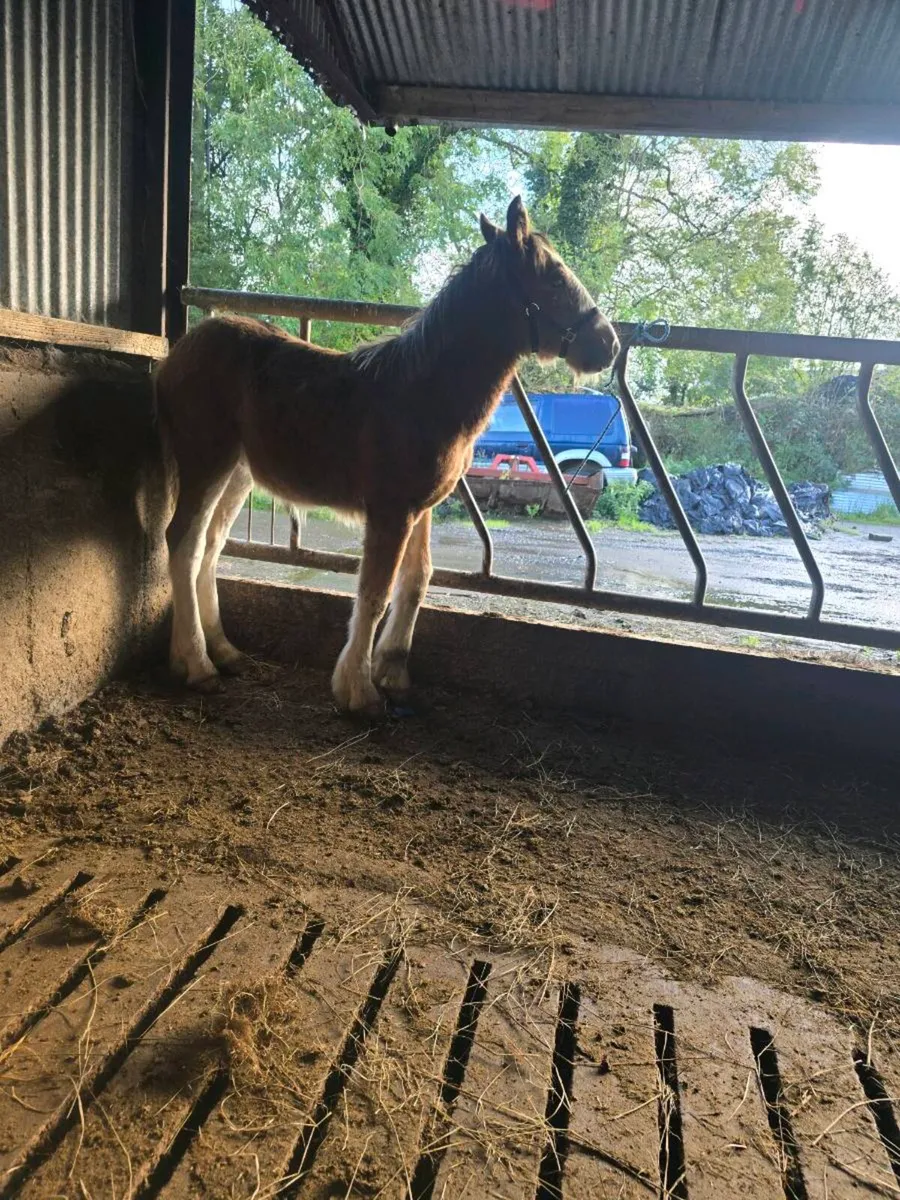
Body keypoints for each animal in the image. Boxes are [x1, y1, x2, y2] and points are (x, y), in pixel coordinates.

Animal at [154, 196, 619, 715]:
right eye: (555, 277)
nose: (609, 343)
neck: (424, 393)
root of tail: (175, 355)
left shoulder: (422, 508)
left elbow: (416, 578)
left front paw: (392, 670)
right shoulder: (391, 510)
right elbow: (373, 593)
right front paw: (358, 690)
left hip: (239, 473)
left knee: (211, 547)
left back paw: (221, 650)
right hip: (206, 461)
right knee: (185, 543)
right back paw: (197, 665)